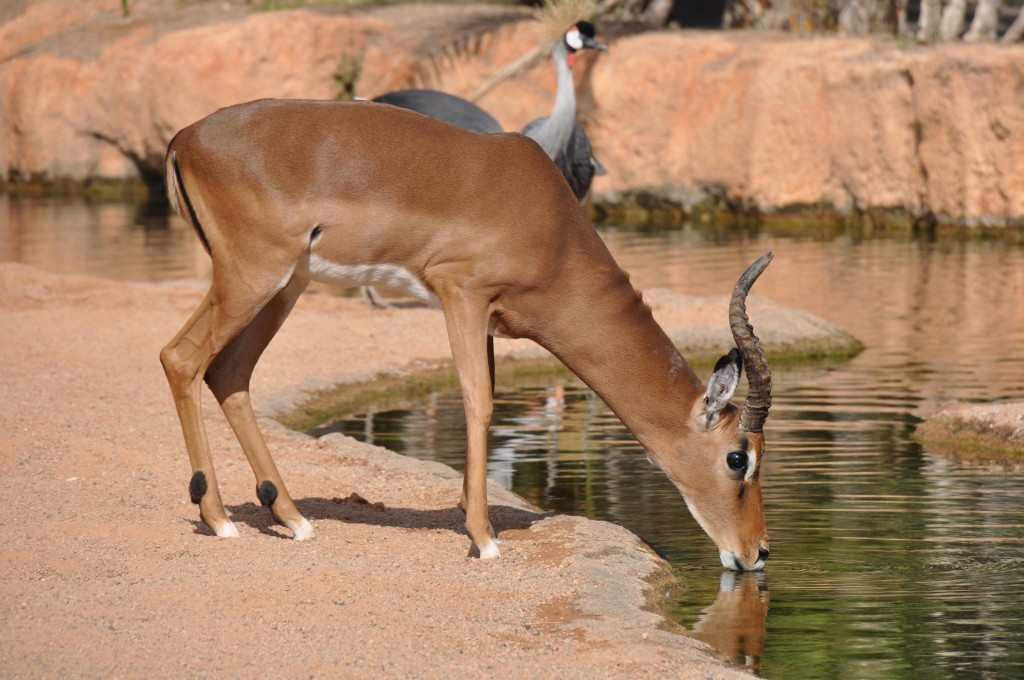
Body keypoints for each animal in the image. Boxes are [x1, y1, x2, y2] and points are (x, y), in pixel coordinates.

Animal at [159, 96, 770, 569]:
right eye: (738, 457)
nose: (758, 553)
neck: (553, 229)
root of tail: (185, 137)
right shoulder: (463, 296)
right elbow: (479, 402)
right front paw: (484, 539)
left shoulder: (490, 323)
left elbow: (488, 396)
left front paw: (469, 515)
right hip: (251, 277)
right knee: (181, 358)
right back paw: (219, 520)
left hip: (285, 286)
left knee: (230, 372)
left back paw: (293, 518)